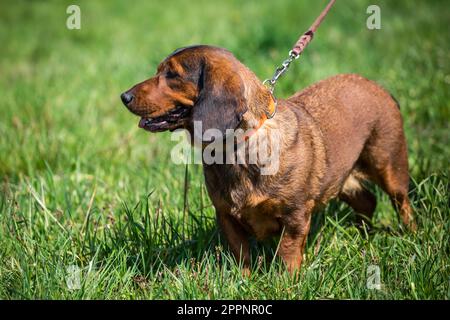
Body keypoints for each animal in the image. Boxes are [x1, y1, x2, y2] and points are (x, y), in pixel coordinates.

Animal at [120, 45, 414, 274]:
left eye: (172, 75)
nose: (124, 96)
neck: (237, 148)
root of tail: (376, 86)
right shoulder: (226, 216)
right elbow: (241, 256)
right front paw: (242, 281)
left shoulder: (295, 218)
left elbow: (287, 255)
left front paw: (285, 284)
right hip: (342, 180)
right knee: (368, 200)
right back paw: (362, 232)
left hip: (389, 168)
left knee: (402, 203)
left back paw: (411, 235)